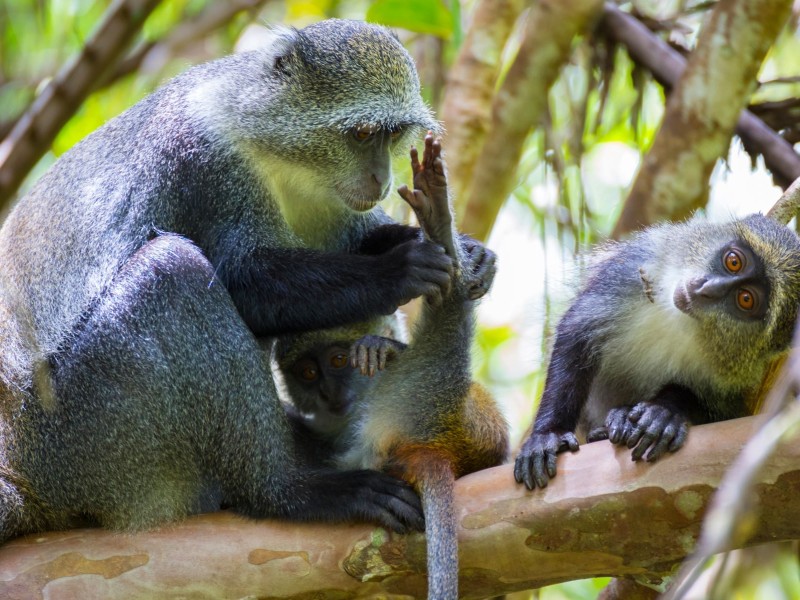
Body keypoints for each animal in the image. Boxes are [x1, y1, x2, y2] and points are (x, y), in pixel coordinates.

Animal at [0, 19, 502, 542]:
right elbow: (241, 283)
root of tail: (25, 476)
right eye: (362, 133)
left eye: (392, 135)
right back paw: (287, 492)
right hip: (82, 438)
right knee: (172, 271)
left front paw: (467, 249)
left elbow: (354, 240)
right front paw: (400, 270)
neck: (275, 148)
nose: (380, 178)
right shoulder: (204, 161)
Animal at [277, 135, 509, 600]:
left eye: (337, 361)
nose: (329, 394)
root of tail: (440, 440)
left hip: (427, 388)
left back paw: (439, 224)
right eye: (308, 373)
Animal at [514, 214, 800, 490]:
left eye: (746, 299)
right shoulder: (636, 264)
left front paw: (665, 412)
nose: (707, 288)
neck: (684, 321)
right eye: (733, 261)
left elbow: (727, 414)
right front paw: (547, 435)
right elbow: (577, 333)